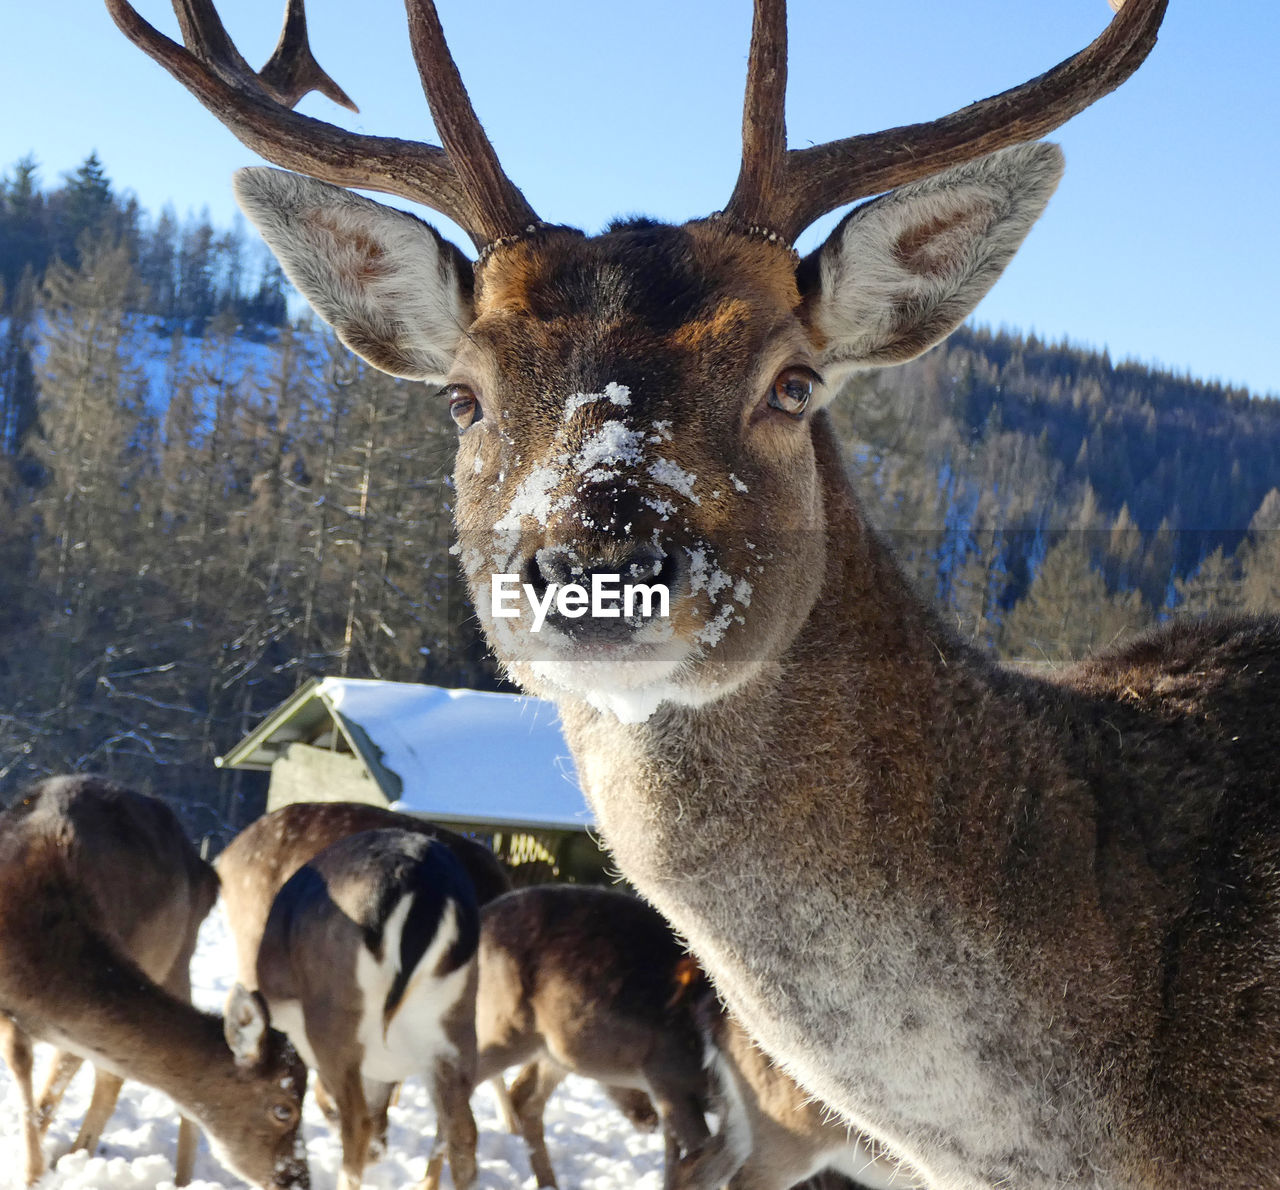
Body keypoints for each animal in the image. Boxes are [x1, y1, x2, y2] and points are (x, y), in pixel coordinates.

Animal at [0, 772, 307, 1182]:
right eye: (284, 1109)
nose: (297, 1179)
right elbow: (25, 1060)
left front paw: (34, 1174)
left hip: (176, 953)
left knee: (111, 1077)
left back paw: (175, 1178)